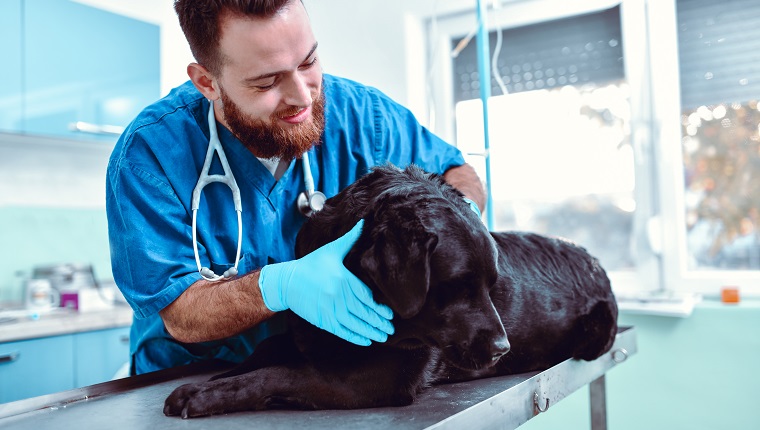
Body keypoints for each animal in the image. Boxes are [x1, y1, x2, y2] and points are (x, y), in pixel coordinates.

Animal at [163, 164, 616, 416]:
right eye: (460, 286)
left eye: (493, 285)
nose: (503, 349)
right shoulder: (308, 333)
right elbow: (265, 351)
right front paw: (217, 377)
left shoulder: (380, 375)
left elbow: (281, 373)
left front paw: (201, 395)